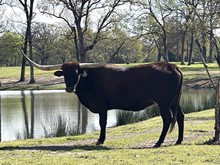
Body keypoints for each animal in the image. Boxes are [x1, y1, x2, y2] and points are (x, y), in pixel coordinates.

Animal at [21, 52, 184, 148]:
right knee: (180, 117)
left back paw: (158, 142)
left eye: (76, 73)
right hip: (174, 102)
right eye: (65, 74)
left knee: (167, 119)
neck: (88, 79)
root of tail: (171, 65)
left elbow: (102, 122)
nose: (69, 88)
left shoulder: (102, 106)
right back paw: (178, 140)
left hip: (164, 103)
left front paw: (100, 140)